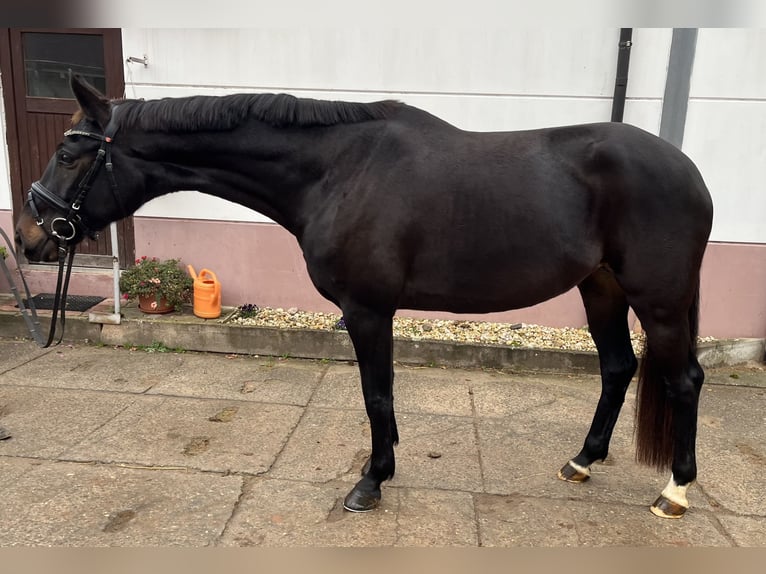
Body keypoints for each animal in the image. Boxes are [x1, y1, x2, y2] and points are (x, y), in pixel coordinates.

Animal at [15, 74, 716, 520]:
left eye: (70, 154)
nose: (28, 236)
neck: (338, 170)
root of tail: (689, 170)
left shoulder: (368, 309)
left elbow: (376, 394)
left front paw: (370, 482)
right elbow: (381, 397)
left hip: (657, 300)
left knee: (683, 379)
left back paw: (675, 493)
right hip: (602, 288)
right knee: (618, 367)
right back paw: (582, 461)